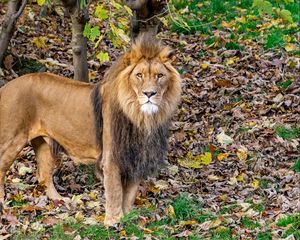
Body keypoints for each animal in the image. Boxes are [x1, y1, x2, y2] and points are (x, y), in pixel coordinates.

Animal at [0, 34, 180, 226]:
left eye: (160, 76)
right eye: (139, 75)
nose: (149, 94)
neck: (141, 116)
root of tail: (6, 86)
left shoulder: (135, 157)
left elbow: (130, 194)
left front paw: (127, 219)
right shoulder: (111, 158)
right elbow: (115, 192)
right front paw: (113, 222)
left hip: (44, 143)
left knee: (43, 176)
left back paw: (60, 201)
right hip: (11, 140)